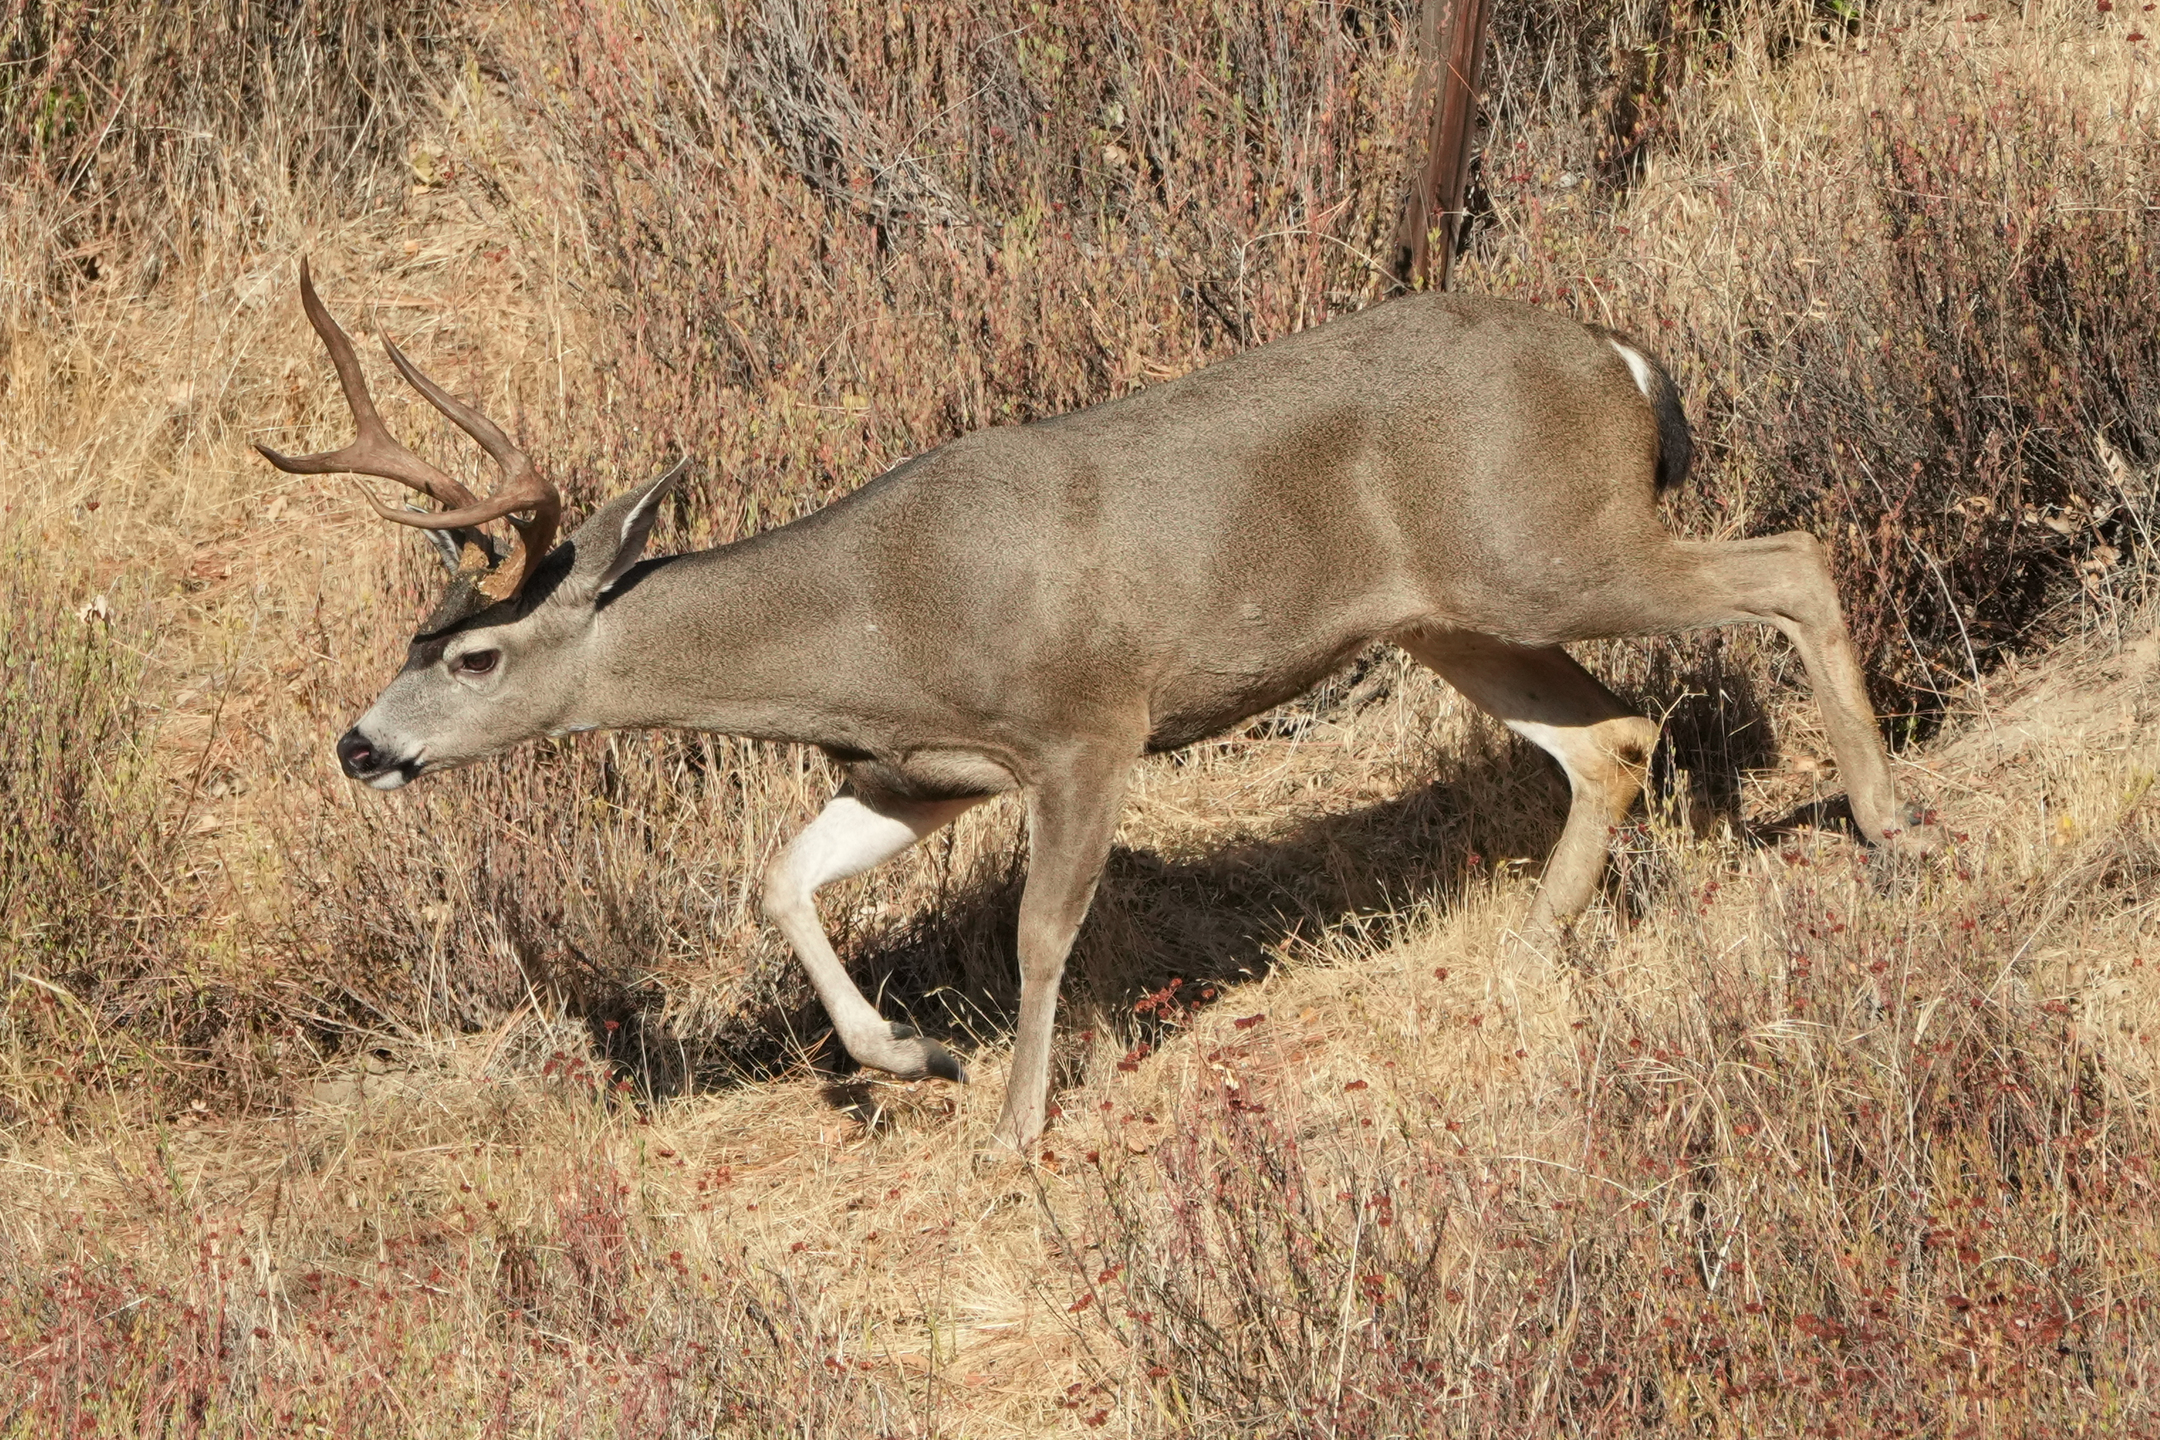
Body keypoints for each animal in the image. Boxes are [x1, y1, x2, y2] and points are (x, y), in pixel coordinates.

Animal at [259, 261, 1934, 1152]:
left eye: (474, 658)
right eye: (415, 629)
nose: (359, 744)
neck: (874, 615)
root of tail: (1621, 358)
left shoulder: (1088, 723)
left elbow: (1040, 934)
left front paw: (1014, 1125)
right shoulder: (916, 770)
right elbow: (779, 879)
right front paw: (915, 1062)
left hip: (1547, 548)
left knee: (1791, 563)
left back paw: (1888, 824)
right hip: (1462, 613)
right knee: (1617, 733)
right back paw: (1526, 948)